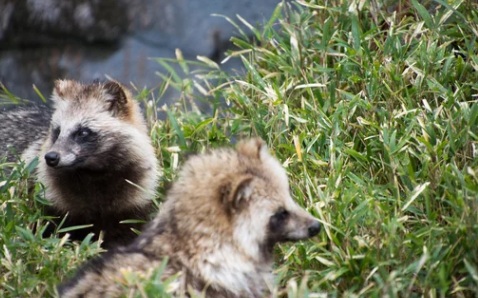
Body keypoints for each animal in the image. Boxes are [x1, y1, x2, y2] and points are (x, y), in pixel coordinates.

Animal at [22, 80, 159, 248]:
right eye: (57, 131)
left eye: (82, 132)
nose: (51, 157)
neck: (92, 173)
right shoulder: (53, 200)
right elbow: (54, 229)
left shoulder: (135, 201)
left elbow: (128, 232)